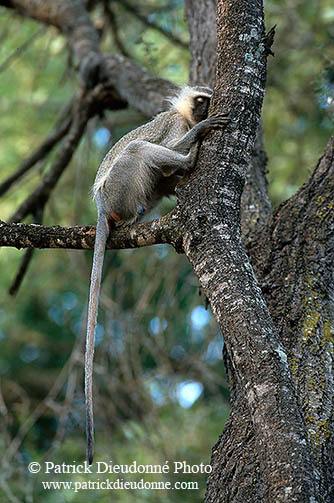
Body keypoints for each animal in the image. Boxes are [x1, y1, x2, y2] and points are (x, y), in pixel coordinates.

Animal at [85, 85, 228, 464]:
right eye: (200, 100)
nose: (205, 109)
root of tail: (102, 206)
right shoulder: (174, 123)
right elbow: (169, 146)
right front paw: (199, 133)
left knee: (157, 174)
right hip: (119, 189)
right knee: (139, 151)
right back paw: (188, 163)